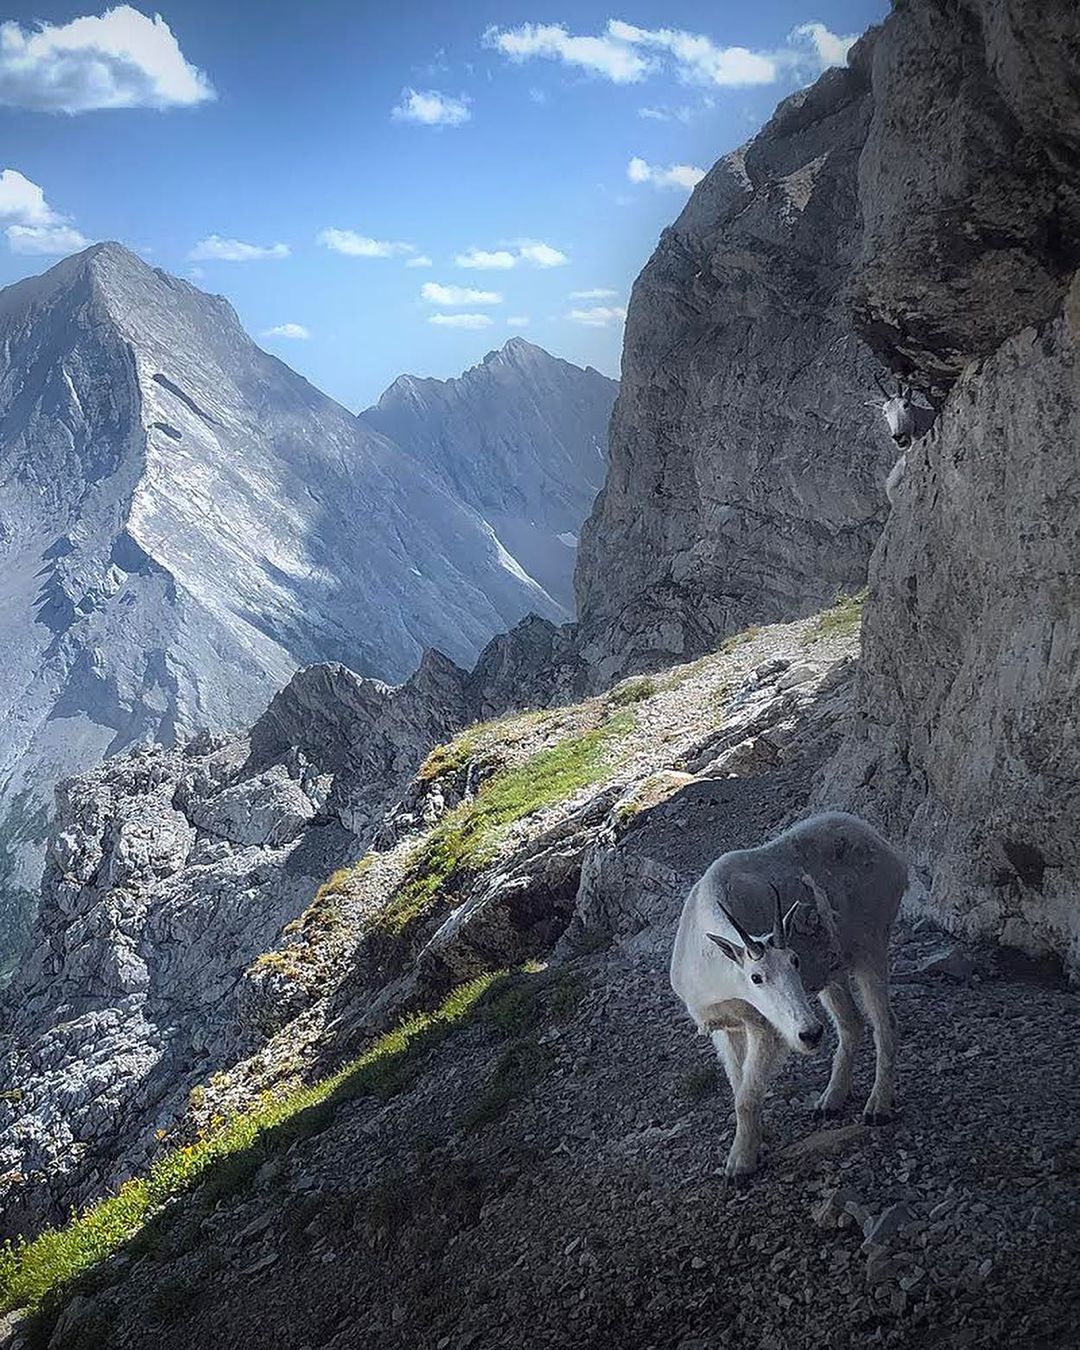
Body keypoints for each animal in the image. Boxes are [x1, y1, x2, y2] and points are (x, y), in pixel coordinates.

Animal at [669, 810, 907, 1182]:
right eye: (756, 977)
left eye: (795, 960)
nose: (810, 1034)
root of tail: (890, 853)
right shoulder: (727, 1025)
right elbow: (739, 1085)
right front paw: (756, 1141)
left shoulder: (765, 1027)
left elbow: (746, 1096)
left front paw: (739, 1165)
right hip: (832, 971)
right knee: (851, 1024)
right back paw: (830, 1101)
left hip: (870, 950)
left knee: (885, 1024)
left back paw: (877, 1106)